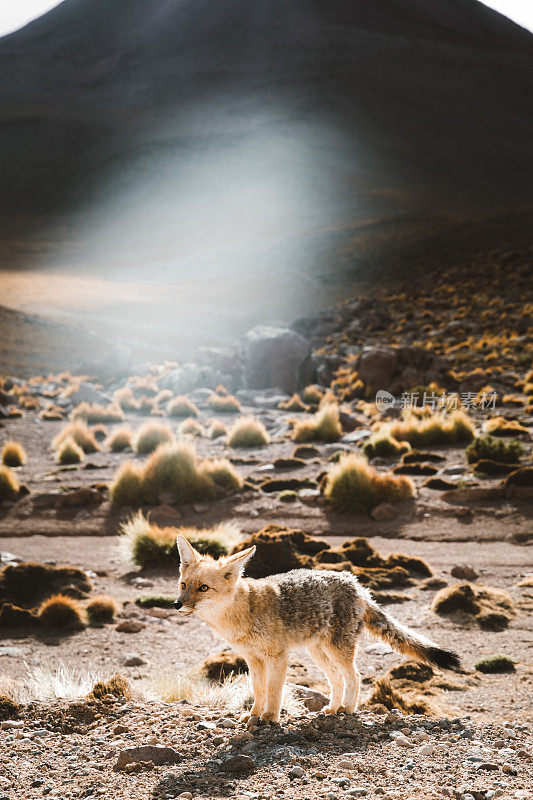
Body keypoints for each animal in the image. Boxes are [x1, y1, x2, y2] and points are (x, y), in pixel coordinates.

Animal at [174, 536, 458, 724]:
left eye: (203, 588)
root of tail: (356, 584)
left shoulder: (278, 657)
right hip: (319, 653)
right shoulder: (252, 658)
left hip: (337, 650)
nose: (176, 605)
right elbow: (258, 688)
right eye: (184, 585)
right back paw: (333, 708)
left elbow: (274, 690)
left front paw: (270, 718)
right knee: (337, 679)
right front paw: (253, 715)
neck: (242, 613)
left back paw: (348, 709)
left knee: (355, 676)